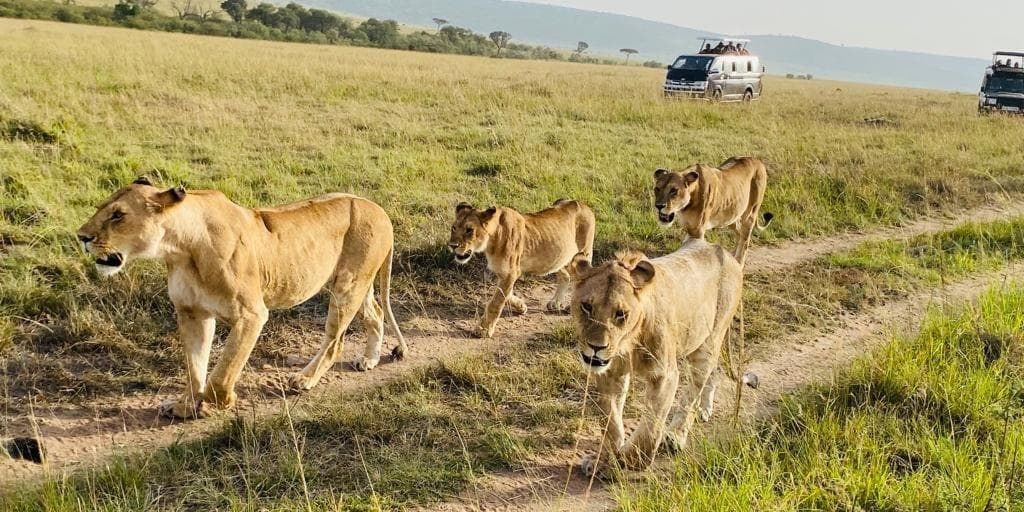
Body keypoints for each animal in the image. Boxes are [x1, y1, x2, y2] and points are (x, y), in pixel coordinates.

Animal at [76, 177, 407, 419]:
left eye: (118, 215)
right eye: (101, 208)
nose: (81, 237)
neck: (180, 248)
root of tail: (377, 207)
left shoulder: (252, 314)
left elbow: (224, 370)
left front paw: (217, 403)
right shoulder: (191, 312)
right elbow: (195, 366)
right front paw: (185, 406)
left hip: (348, 285)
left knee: (335, 341)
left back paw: (304, 380)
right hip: (355, 282)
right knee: (376, 313)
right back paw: (369, 359)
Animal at [448, 199, 595, 338]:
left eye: (469, 230)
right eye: (453, 228)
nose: (452, 245)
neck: (492, 241)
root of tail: (583, 204)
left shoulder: (510, 272)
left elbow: (496, 302)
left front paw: (483, 329)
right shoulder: (503, 272)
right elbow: (507, 295)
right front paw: (521, 306)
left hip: (582, 255)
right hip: (558, 259)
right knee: (566, 275)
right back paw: (555, 303)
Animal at [569, 239, 742, 475]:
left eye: (621, 314)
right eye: (587, 307)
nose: (596, 347)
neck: (628, 345)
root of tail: (721, 249)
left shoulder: (664, 375)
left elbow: (650, 430)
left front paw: (629, 459)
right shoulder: (608, 374)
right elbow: (611, 422)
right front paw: (604, 460)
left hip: (709, 342)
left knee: (693, 392)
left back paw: (676, 436)